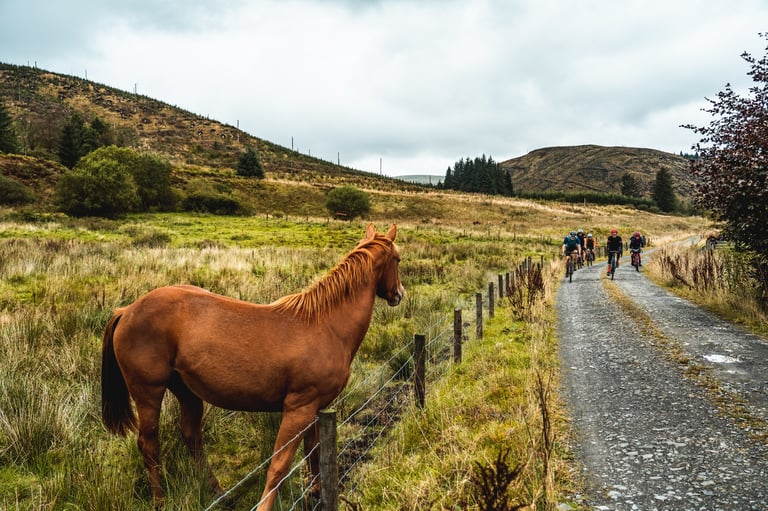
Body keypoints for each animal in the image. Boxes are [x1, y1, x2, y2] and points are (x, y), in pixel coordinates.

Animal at [101, 223, 404, 510]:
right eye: (398, 260)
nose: (399, 294)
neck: (326, 325)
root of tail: (127, 311)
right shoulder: (299, 408)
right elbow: (279, 466)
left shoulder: (315, 409)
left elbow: (315, 453)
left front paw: (317, 494)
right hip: (148, 392)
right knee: (149, 444)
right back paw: (160, 500)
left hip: (186, 391)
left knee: (191, 436)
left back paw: (219, 494)